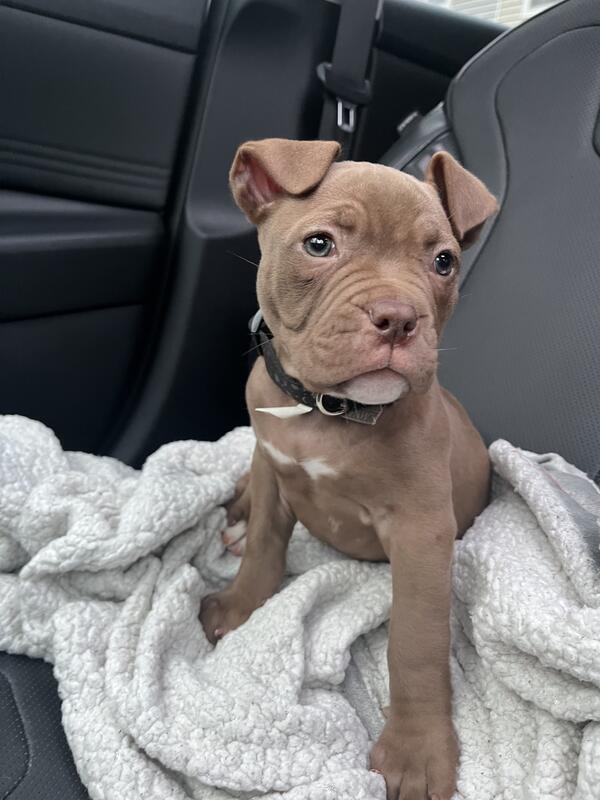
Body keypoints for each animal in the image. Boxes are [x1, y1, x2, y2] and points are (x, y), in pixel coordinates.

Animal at [200, 138, 497, 800]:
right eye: (319, 245)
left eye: (443, 261)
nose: (398, 318)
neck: (328, 410)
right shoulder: (272, 468)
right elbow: (264, 545)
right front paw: (240, 608)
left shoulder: (422, 533)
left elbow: (415, 642)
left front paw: (416, 752)